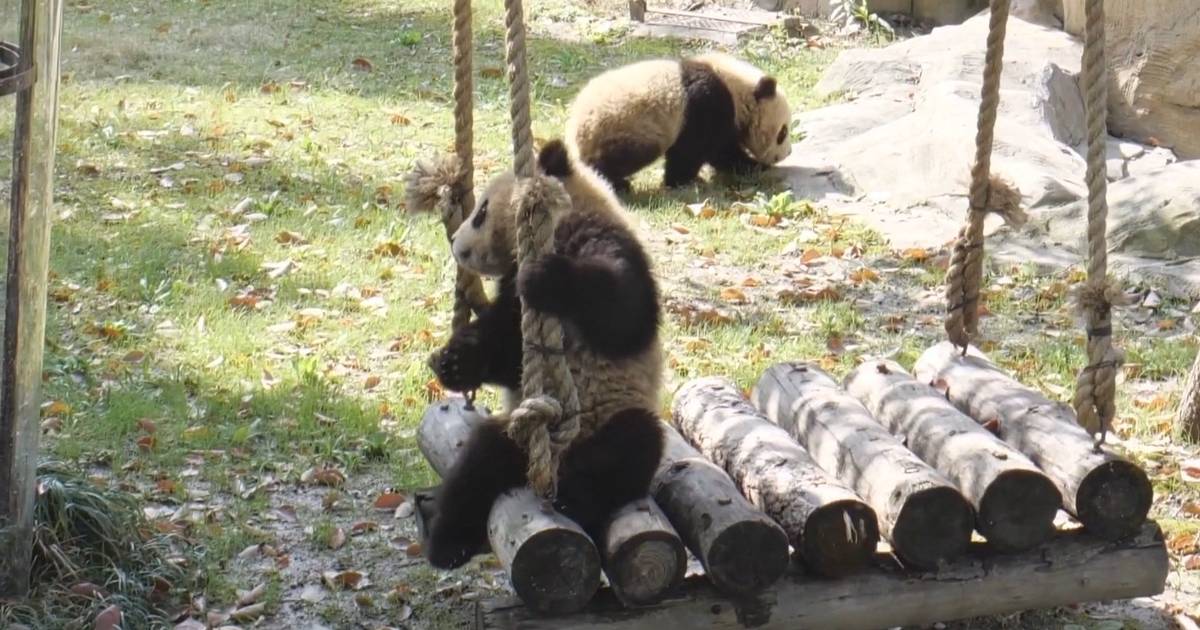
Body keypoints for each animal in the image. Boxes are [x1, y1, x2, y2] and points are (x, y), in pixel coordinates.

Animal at [424, 139, 665, 570]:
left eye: (481, 212)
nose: (456, 246)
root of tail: (558, 460)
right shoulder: (513, 305)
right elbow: (507, 352)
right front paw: (453, 363)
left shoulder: (608, 241)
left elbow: (625, 312)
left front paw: (547, 277)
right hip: (514, 435)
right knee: (479, 467)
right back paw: (448, 544)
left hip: (615, 414)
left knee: (630, 447)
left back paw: (574, 498)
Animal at [564, 52, 792, 193]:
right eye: (782, 133)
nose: (787, 153)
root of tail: (577, 130)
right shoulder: (706, 104)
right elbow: (701, 150)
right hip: (627, 126)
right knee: (623, 155)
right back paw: (616, 183)